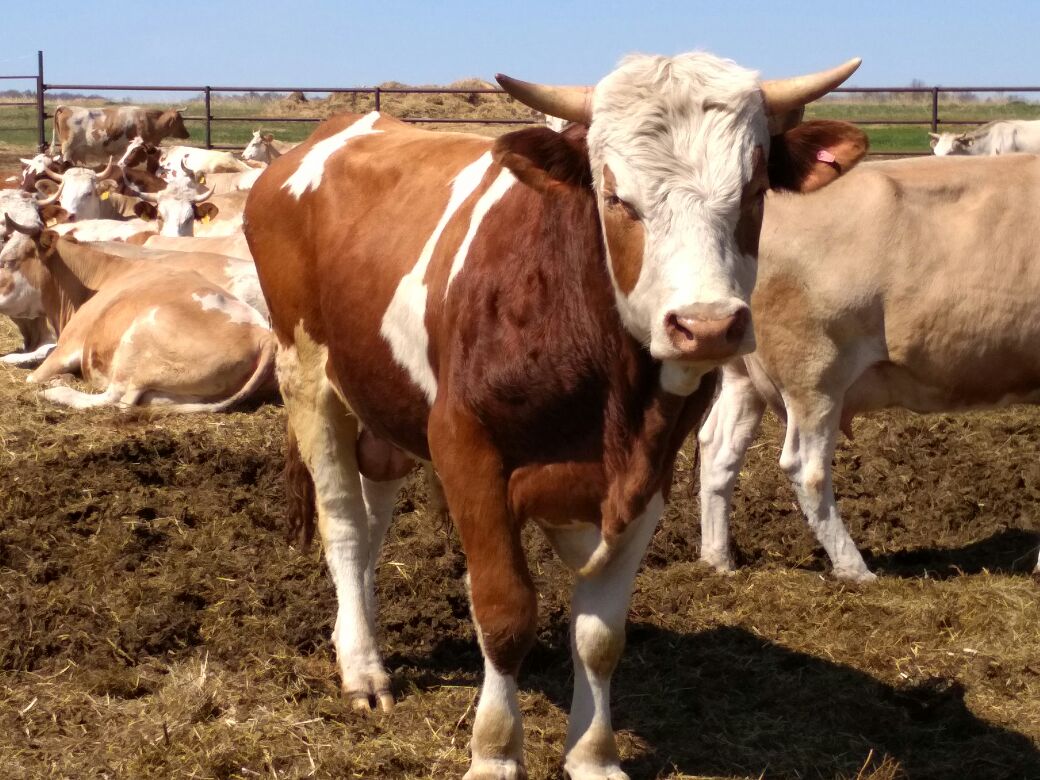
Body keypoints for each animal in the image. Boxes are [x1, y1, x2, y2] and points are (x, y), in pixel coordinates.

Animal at [1, 220, 276, 411]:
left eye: (8, 261)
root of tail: (263, 336)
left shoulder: (69, 345)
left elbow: (33, 375)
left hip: (137, 341)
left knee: (115, 398)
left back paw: (56, 391)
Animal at [694, 153, 1040, 582]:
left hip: (743, 376)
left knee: (718, 449)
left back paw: (718, 560)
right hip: (814, 372)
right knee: (805, 468)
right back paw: (855, 570)